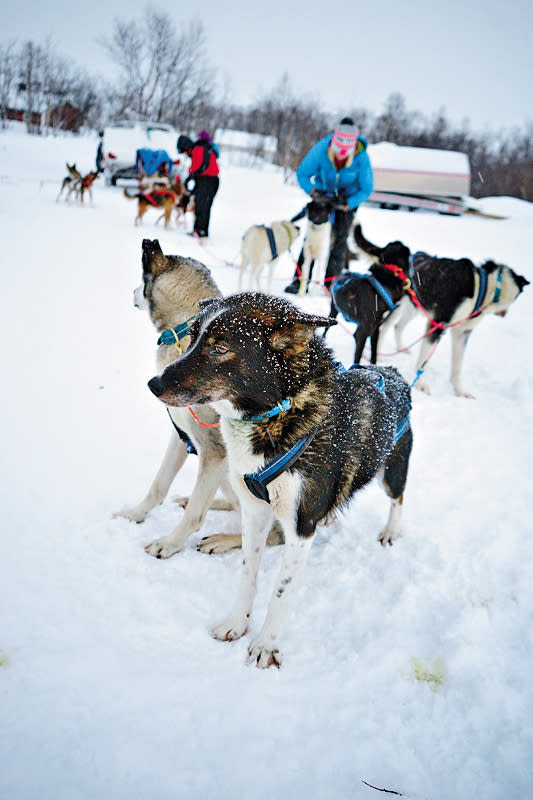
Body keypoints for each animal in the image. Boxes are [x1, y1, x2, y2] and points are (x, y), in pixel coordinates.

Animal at [114, 238, 284, 556]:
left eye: (140, 281)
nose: (132, 292)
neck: (182, 331)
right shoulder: (182, 438)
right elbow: (158, 486)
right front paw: (135, 514)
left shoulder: (214, 452)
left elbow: (195, 514)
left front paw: (169, 543)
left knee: (269, 535)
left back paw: (223, 539)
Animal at [148, 294, 414, 668]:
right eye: (192, 337)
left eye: (220, 348)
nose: (153, 384)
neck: (281, 412)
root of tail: (392, 375)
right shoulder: (256, 511)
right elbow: (248, 573)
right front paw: (236, 624)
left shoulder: (301, 527)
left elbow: (281, 591)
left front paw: (265, 645)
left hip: (392, 470)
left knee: (398, 497)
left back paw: (390, 530)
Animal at [354, 225, 528, 396]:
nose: (505, 314)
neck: (483, 288)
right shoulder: (438, 324)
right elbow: (424, 361)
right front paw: (421, 384)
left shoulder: (462, 333)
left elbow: (458, 365)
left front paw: (459, 390)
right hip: (395, 308)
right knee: (384, 329)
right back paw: (378, 355)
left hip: (414, 308)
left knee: (398, 326)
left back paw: (401, 348)